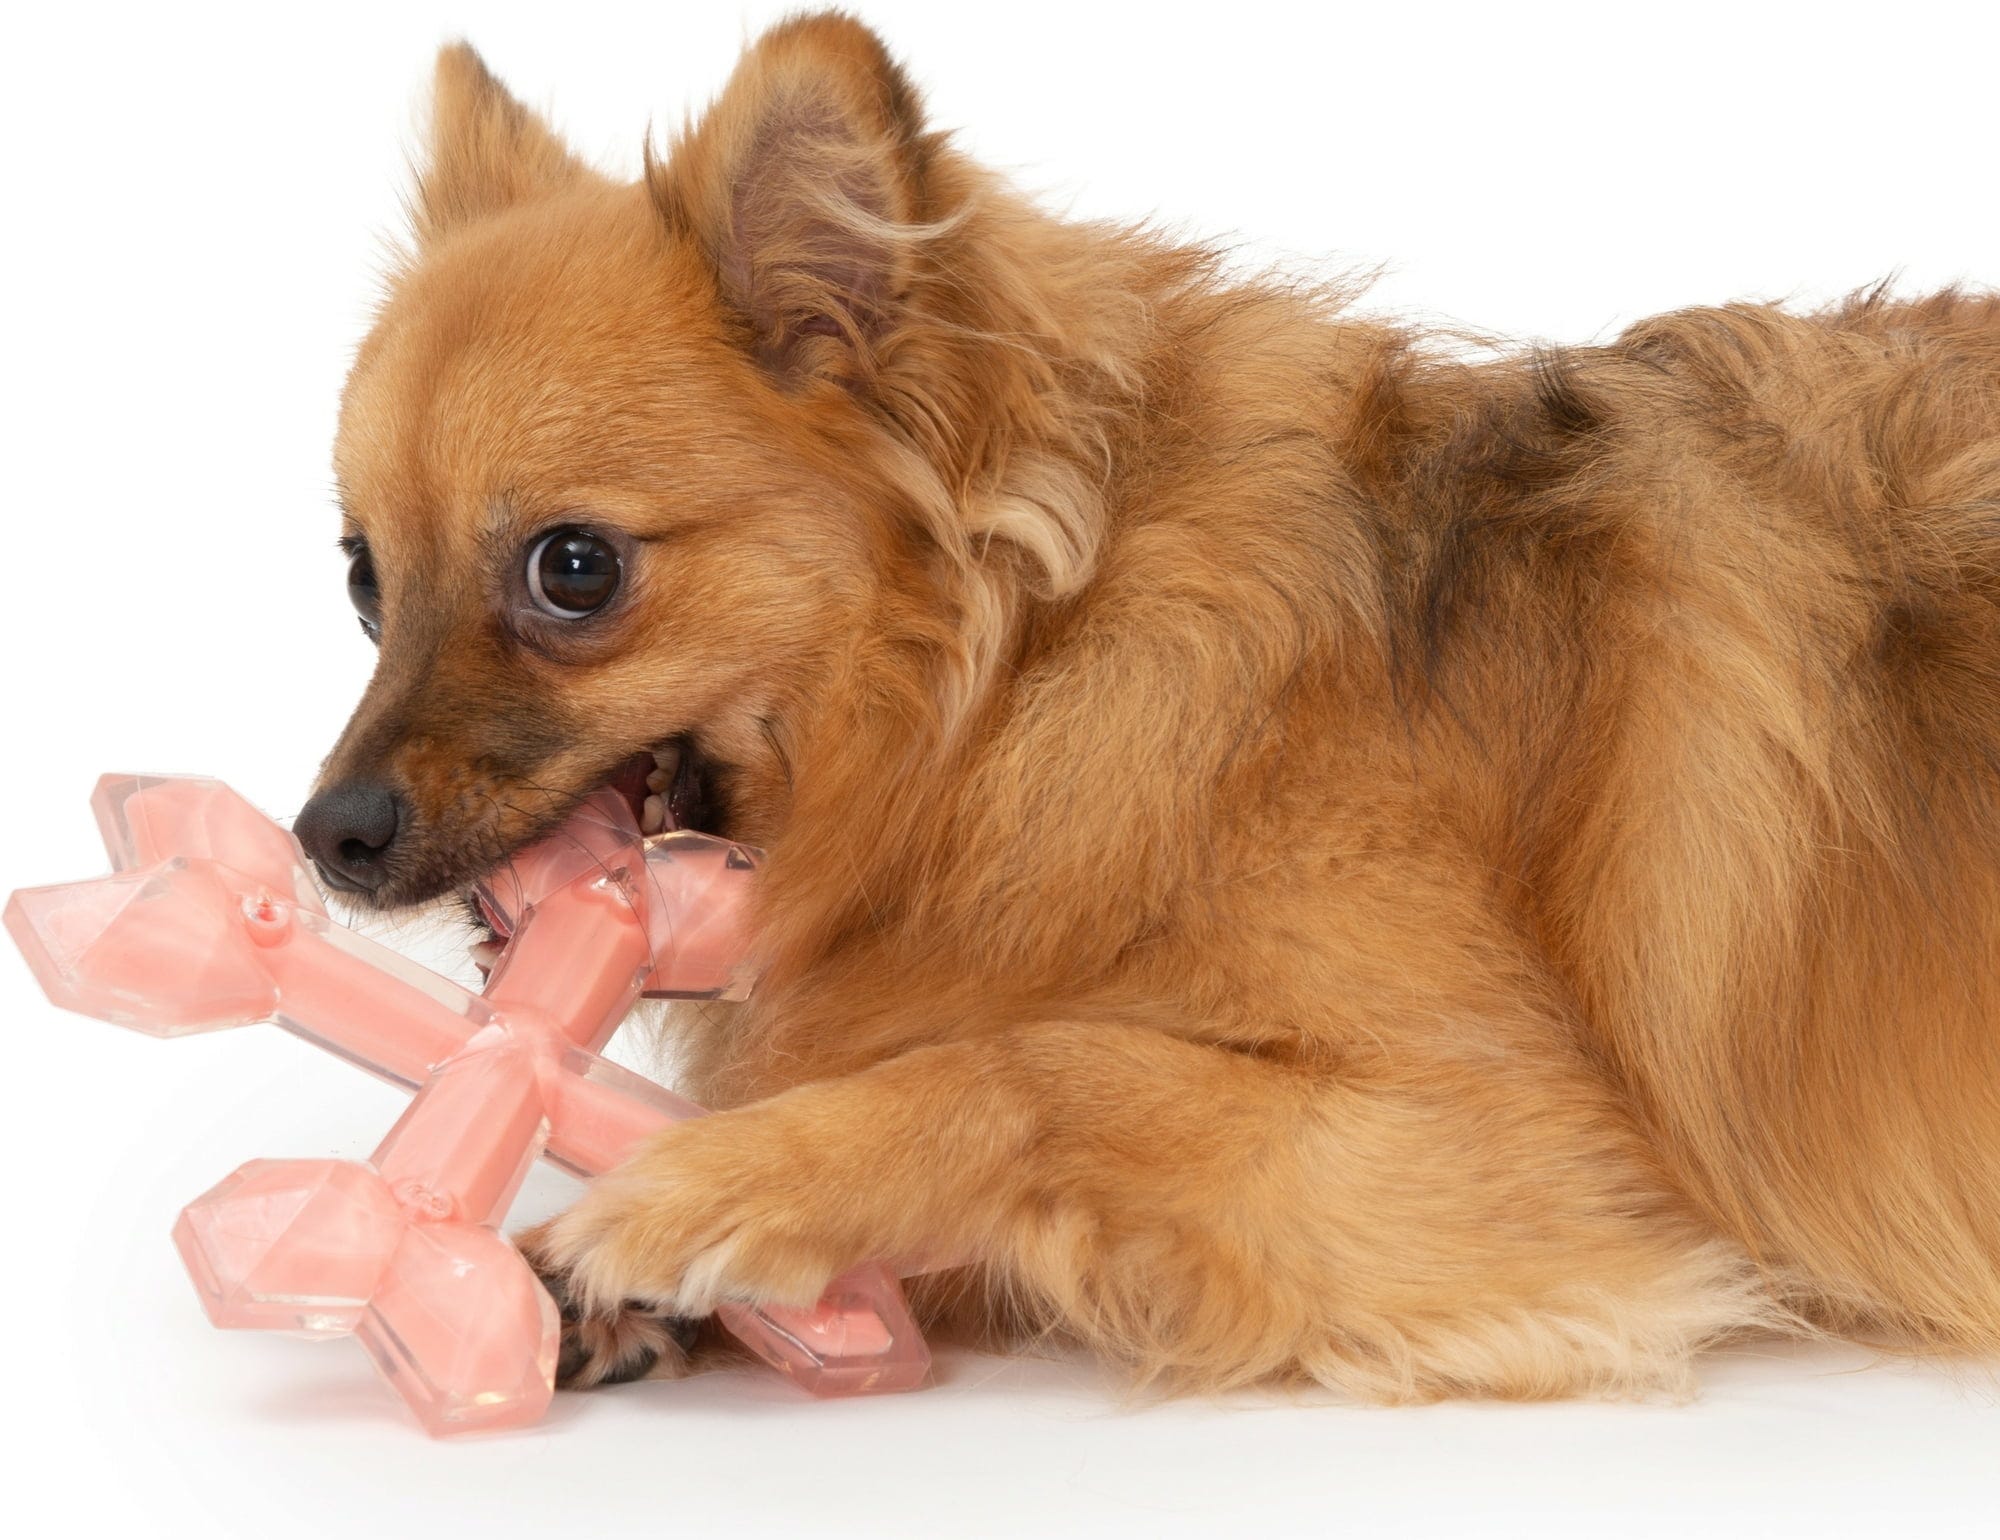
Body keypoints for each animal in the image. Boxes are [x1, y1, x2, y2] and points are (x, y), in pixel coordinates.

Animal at [296, 12, 2000, 1400]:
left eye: (573, 570)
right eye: (364, 580)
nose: (326, 838)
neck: (1033, 682)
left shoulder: (1519, 1155)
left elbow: (1042, 1066)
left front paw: (714, 1189)